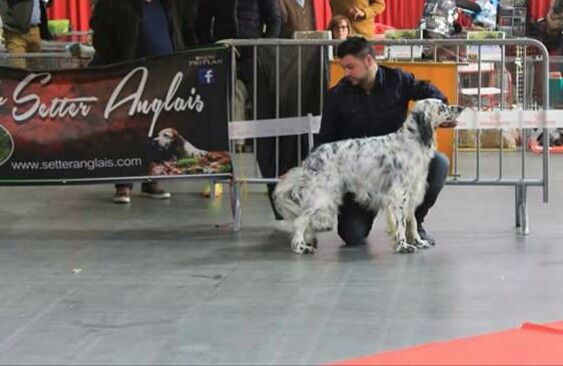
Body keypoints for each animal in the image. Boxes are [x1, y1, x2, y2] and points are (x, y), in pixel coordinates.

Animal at [274, 98, 462, 256]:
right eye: (442, 107)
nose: (460, 107)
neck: (411, 141)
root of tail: (310, 159)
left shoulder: (412, 192)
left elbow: (413, 221)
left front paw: (418, 241)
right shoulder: (399, 194)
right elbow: (401, 223)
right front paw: (404, 245)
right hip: (322, 197)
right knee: (300, 221)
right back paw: (301, 247)